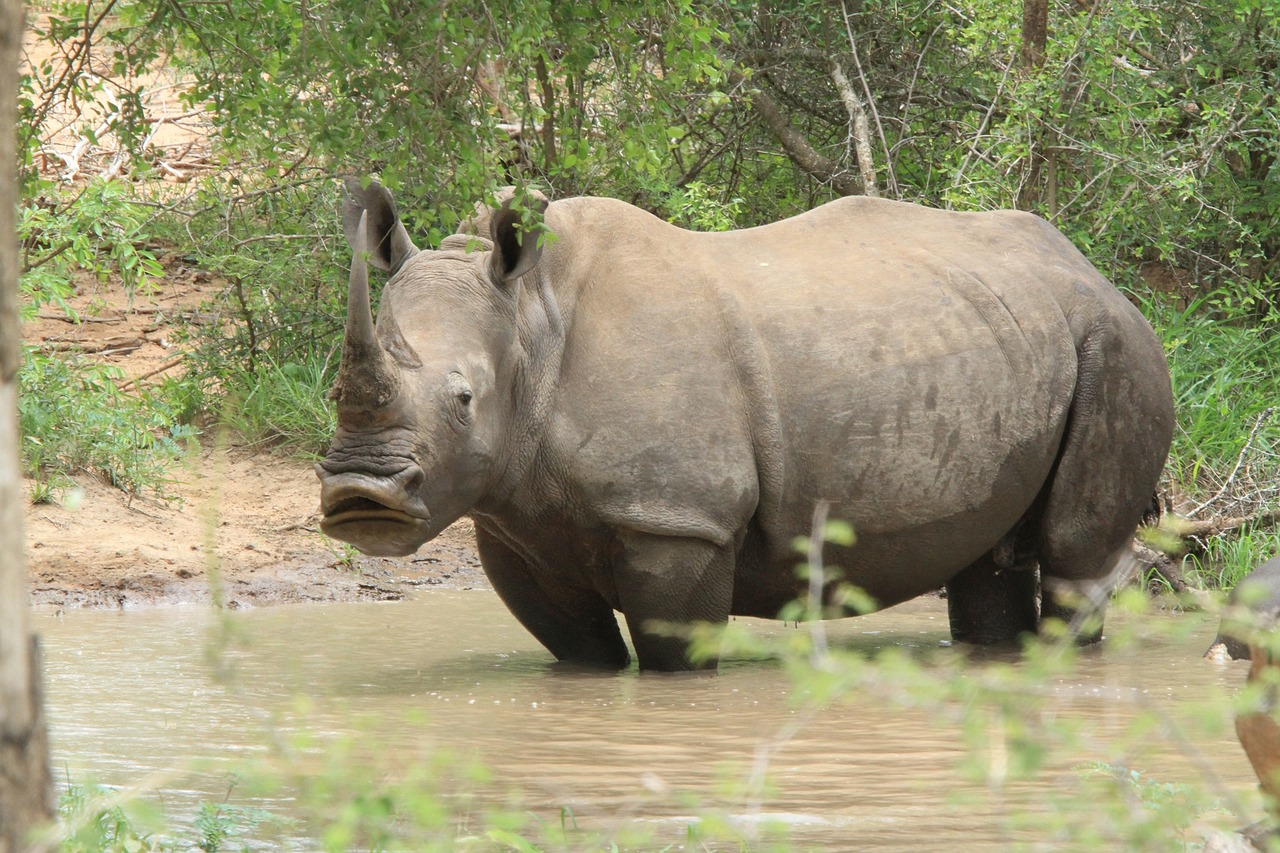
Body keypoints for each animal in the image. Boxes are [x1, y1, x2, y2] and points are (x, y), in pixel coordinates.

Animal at [314, 178, 1172, 671]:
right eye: (331, 392)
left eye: (464, 399)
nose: (360, 495)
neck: (530, 320)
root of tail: (1091, 266)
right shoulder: (516, 525)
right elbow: (581, 654)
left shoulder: (678, 519)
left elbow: (674, 655)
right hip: (1013, 333)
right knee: (988, 559)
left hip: (1115, 342)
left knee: (1075, 556)